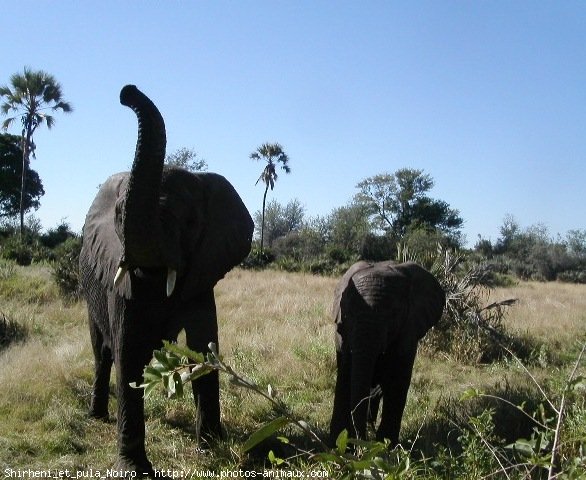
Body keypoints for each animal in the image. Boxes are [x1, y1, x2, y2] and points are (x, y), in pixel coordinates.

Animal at [78, 85, 252, 472]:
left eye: (189, 223)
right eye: (120, 215)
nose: (126, 92)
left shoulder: (202, 271)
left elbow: (203, 347)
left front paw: (210, 449)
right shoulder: (119, 285)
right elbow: (128, 354)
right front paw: (134, 470)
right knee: (102, 353)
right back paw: (96, 417)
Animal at [328, 260, 442, 444]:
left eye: (393, 314)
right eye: (347, 314)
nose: (360, 442)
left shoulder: (407, 331)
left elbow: (397, 381)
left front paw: (386, 445)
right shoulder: (343, 336)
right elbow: (345, 376)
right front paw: (337, 444)